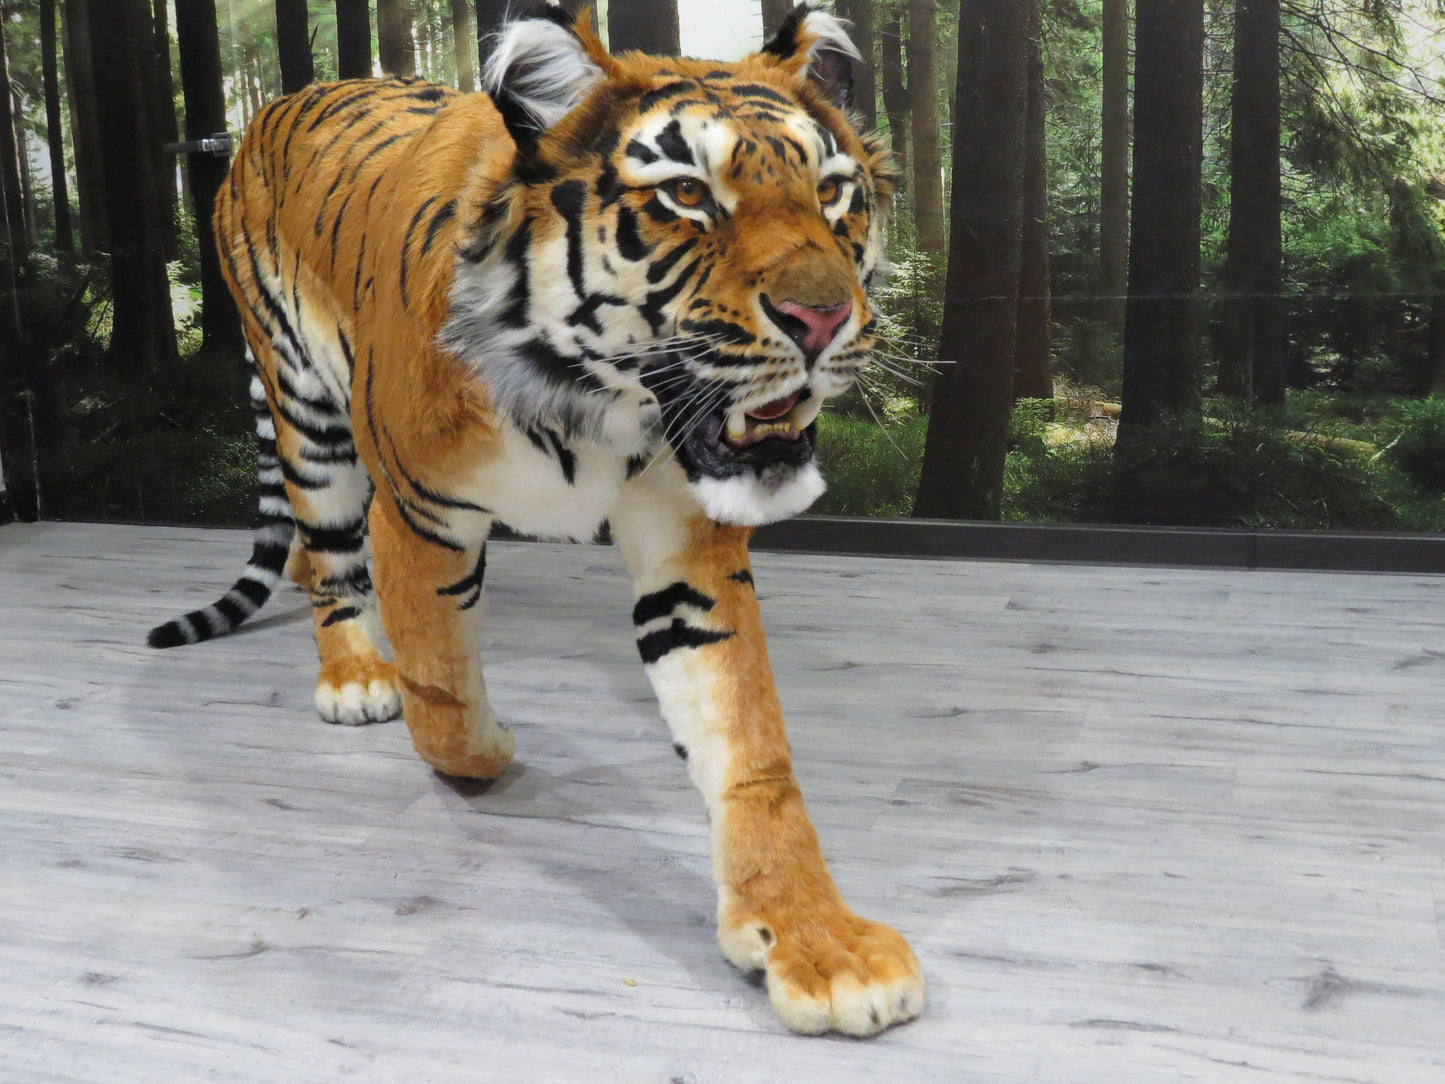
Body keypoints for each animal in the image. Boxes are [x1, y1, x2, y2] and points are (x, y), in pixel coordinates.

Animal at [147, 3, 923, 1036]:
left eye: (835, 195)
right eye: (685, 194)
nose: (824, 318)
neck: (598, 400)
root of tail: (279, 101)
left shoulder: (688, 549)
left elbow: (750, 750)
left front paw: (817, 942)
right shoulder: (419, 517)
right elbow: (439, 684)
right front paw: (484, 749)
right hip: (305, 415)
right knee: (329, 559)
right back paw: (353, 675)